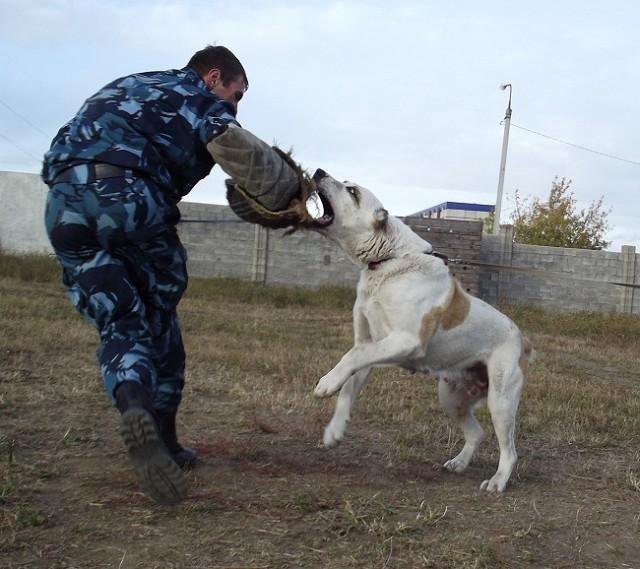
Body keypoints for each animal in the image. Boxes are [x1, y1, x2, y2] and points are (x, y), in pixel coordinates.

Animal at [308, 169, 532, 492]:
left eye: (352, 192)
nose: (319, 172)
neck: (390, 260)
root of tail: (522, 339)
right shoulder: (370, 345)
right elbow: (349, 384)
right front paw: (334, 432)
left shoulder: (404, 341)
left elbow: (351, 357)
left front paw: (327, 383)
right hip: (451, 398)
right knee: (477, 433)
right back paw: (459, 463)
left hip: (500, 402)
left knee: (510, 451)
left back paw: (497, 482)